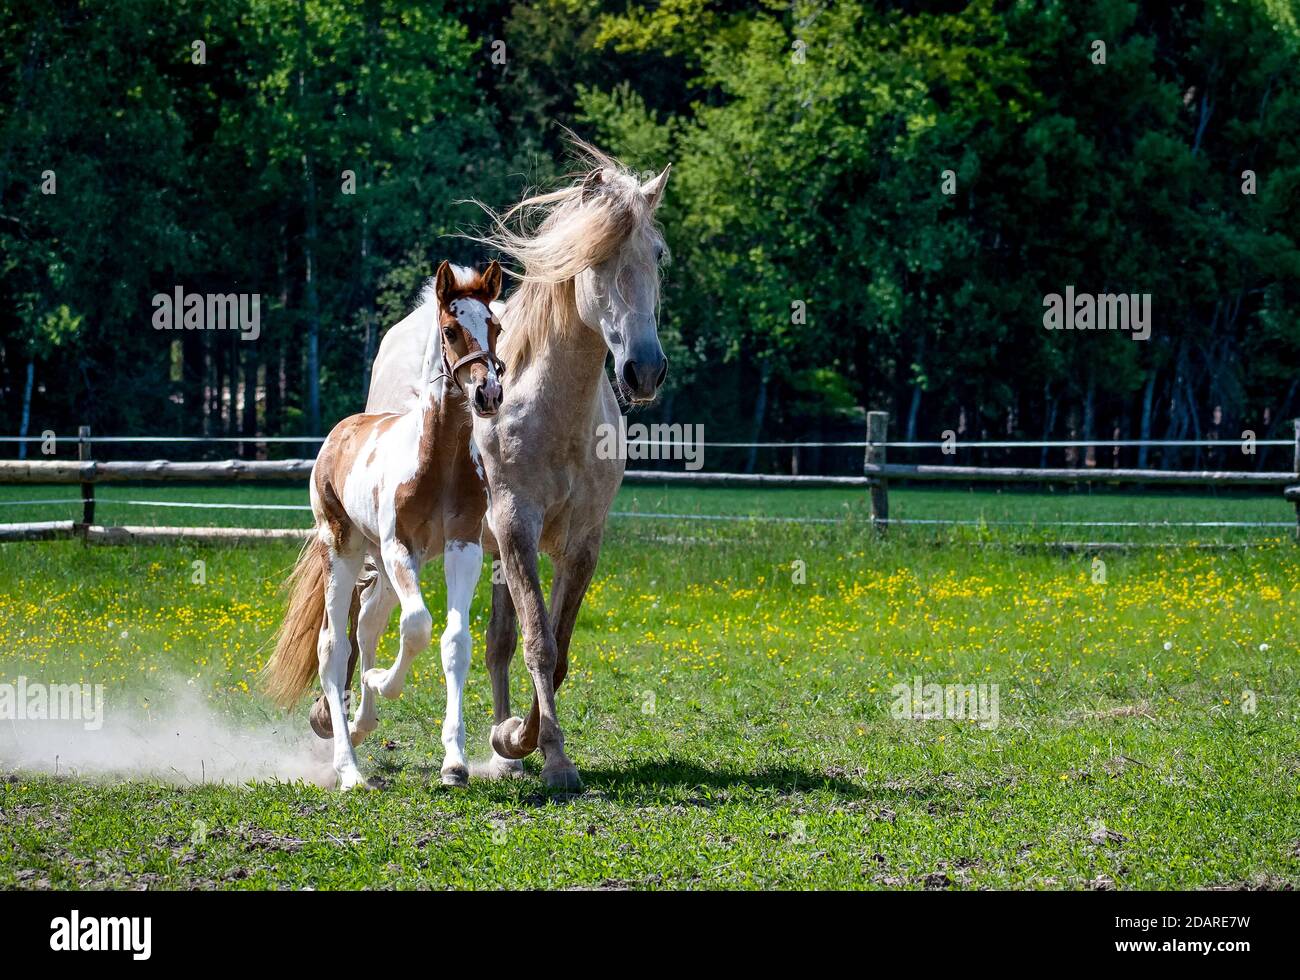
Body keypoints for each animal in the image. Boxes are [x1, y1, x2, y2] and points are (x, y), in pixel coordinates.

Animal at [263, 260, 505, 790]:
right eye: (451, 330)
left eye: (496, 327)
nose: (488, 394)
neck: (437, 461)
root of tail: (340, 431)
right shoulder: (401, 548)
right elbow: (417, 627)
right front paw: (381, 683)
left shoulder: (464, 547)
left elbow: (454, 641)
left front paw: (454, 763)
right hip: (345, 550)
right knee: (334, 646)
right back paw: (349, 769)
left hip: (383, 565)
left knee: (369, 624)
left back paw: (362, 724)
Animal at [365, 141, 671, 788]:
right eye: (596, 257)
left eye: (656, 254)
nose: (645, 369)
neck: (555, 412)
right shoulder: (515, 527)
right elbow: (540, 644)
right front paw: (548, 755)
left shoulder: (581, 542)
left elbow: (555, 648)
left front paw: (516, 741)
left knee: (496, 642)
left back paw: (503, 753)